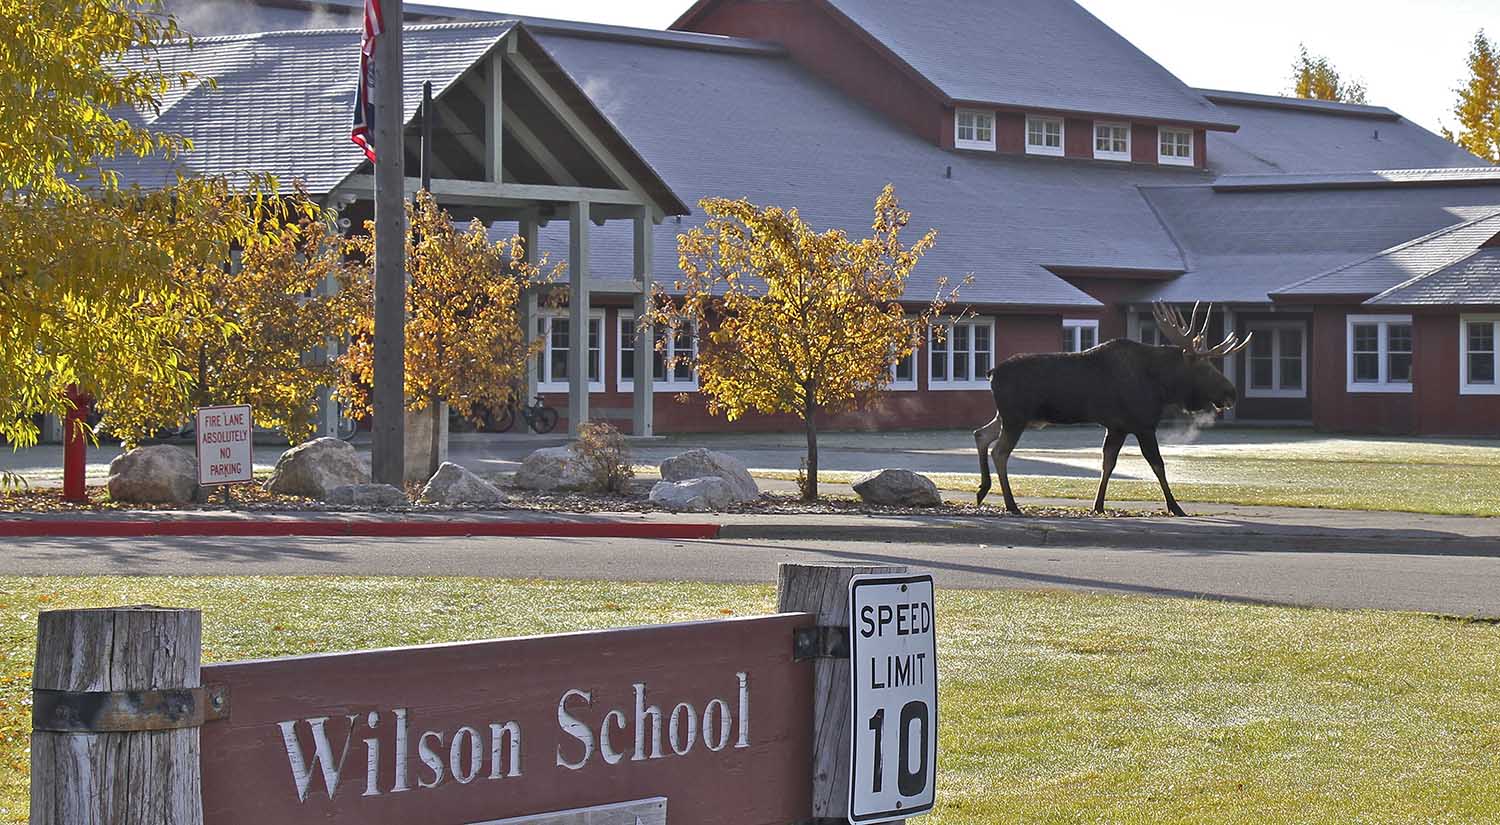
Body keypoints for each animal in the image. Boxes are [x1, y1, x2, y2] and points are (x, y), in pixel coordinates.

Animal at [972, 304, 1254, 522]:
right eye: (1205, 367)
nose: (1231, 393)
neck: (1162, 386)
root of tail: (991, 373)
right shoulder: (1143, 424)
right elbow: (1158, 465)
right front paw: (1175, 506)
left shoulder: (1117, 426)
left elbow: (1108, 462)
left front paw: (1098, 505)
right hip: (1015, 417)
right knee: (1000, 451)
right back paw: (1010, 504)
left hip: (1006, 416)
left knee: (981, 434)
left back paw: (983, 490)